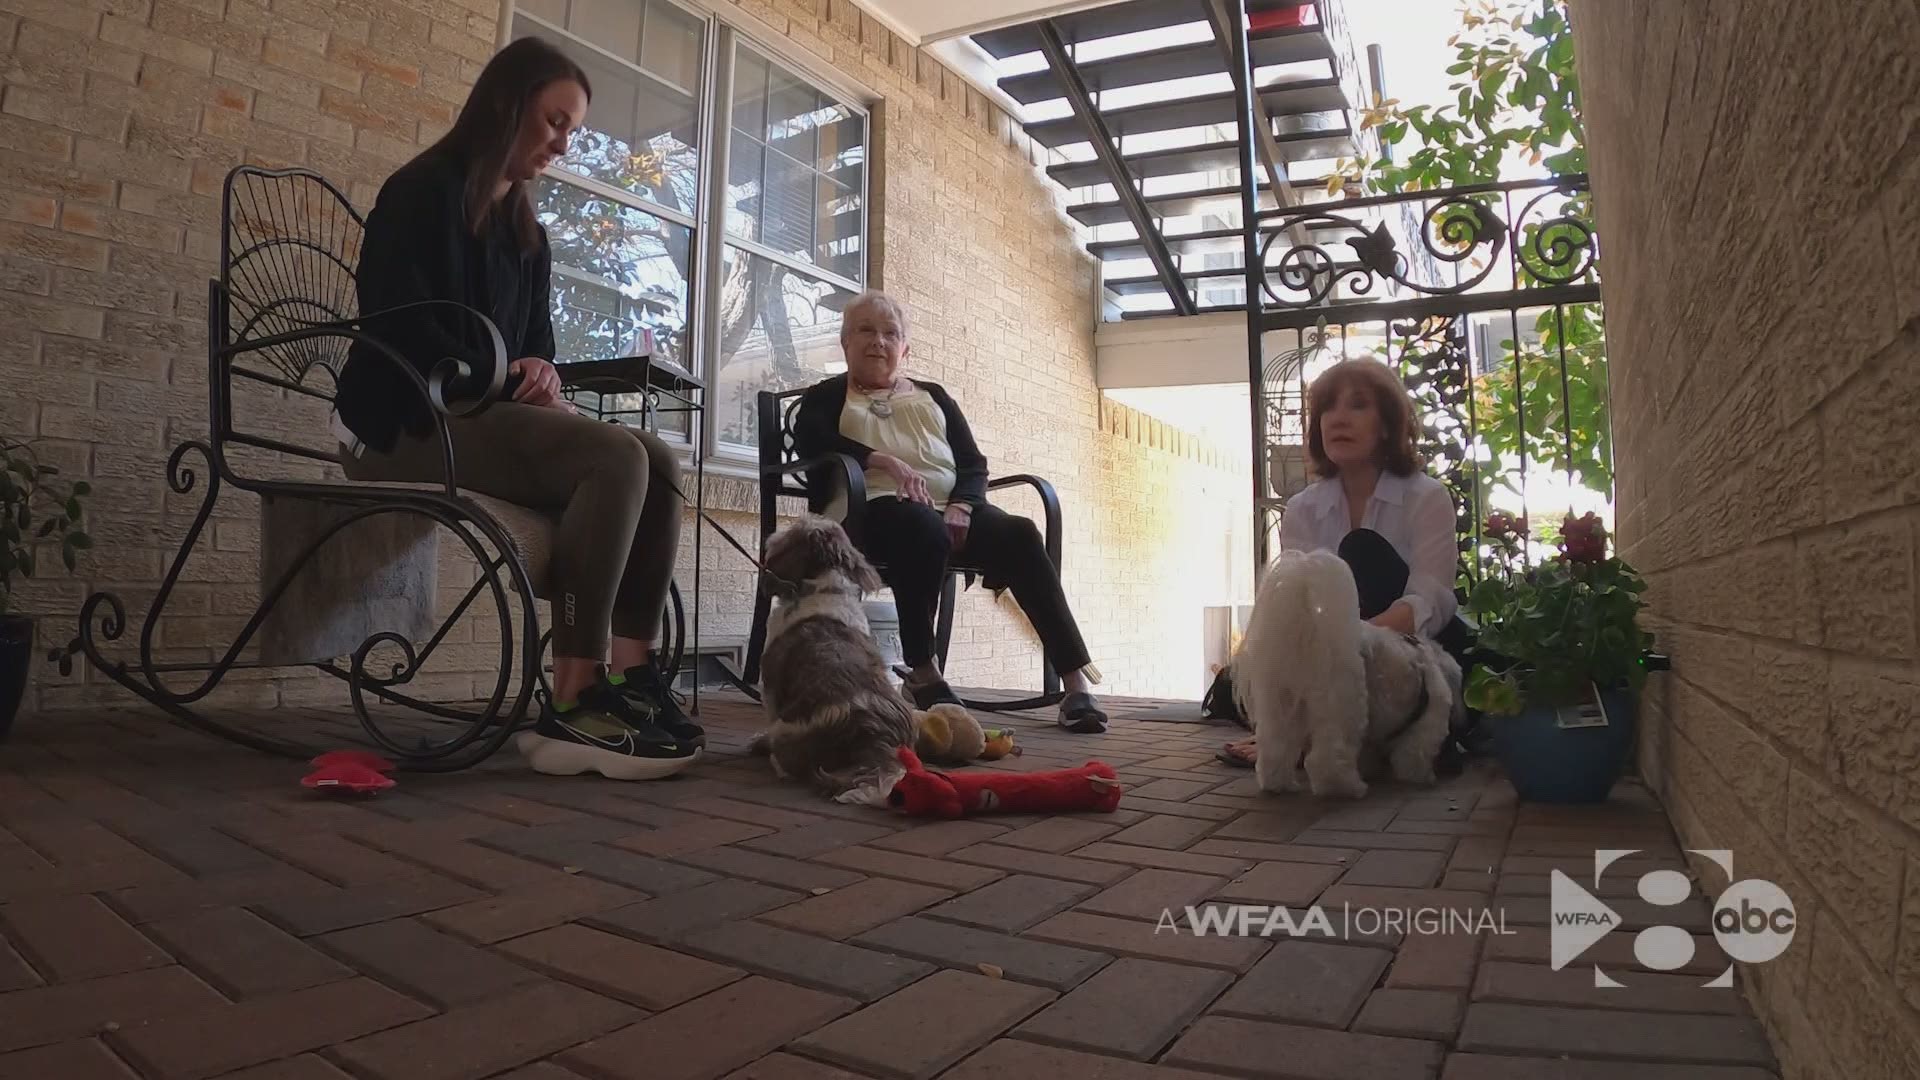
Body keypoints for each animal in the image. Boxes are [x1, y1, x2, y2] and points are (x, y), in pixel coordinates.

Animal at [1236, 541, 1459, 795]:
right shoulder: (1425, 727)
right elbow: (1413, 756)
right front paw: (1421, 776)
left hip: (1281, 705)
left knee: (1276, 748)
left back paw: (1278, 783)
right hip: (1342, 705)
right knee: (1327, 758)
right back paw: (1347, 787)